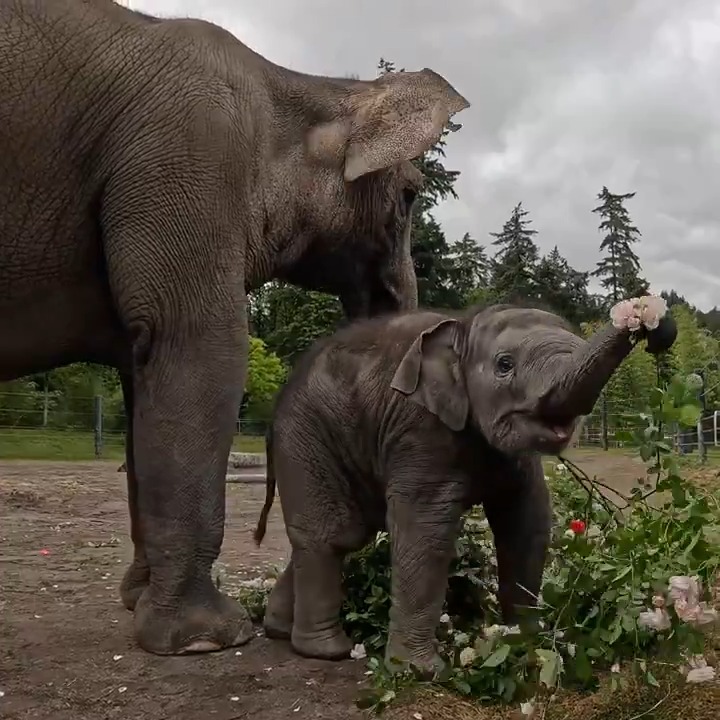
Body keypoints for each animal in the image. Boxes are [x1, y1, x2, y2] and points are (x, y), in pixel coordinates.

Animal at [0, 0, 469, 656]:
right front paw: (205, 640)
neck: (291, 86)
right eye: (409, 195)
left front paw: (140, 604)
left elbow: (142, 376)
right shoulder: (189, 158)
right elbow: (203, 349)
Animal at [253, 299, 677, 671]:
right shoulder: (418, 426)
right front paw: (419, 672)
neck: (464, 325)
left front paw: (527, 643)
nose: (651, 322)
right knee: (334, 534)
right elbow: (427, 532)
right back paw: (327, 651)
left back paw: (279, 631)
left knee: (344, 532)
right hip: (307, 438)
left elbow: (526, 521)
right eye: (504, 365)